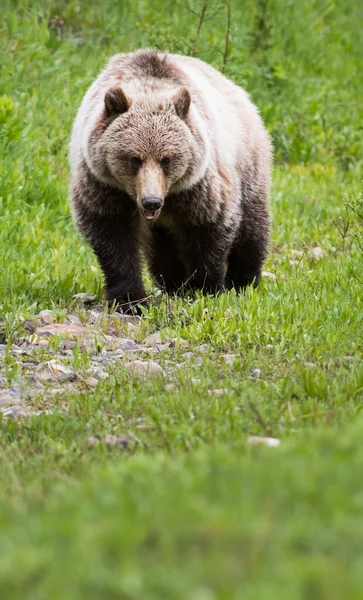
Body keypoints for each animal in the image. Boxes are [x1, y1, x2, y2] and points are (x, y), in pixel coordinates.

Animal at [69, 49, 272, 312]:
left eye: (166, 159)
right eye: (134, 159)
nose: (151, 201)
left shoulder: (199, 185)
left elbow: (209, 227)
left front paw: (205, 288)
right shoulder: (104, 185)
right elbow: (112, 234)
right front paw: (130, 300)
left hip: (247, 160)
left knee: (251, 226)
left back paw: (243, 281)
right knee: (164, 250)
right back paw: (174, 284)